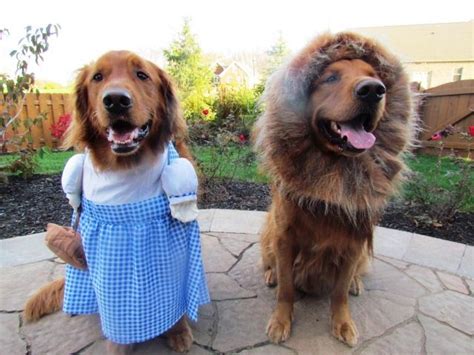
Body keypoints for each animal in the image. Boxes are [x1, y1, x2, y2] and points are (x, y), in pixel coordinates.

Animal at [23, 50, 194, 354]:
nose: (115, 100)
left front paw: (179, 331)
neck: (126, 167)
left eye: (142, 75)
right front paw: (119, 345)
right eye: (98, 77)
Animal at [256, 32, 414, 348]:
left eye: (374, 76)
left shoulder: (354, 241)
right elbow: (287, 289)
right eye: (330, 78)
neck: (332, 177)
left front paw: (343, 323)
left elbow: (339, 292)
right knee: (272, 265)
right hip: (268, 234)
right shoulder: (284, 236)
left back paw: (356, 283)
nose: (373, 91)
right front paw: (280, 320)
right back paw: (271, 275)